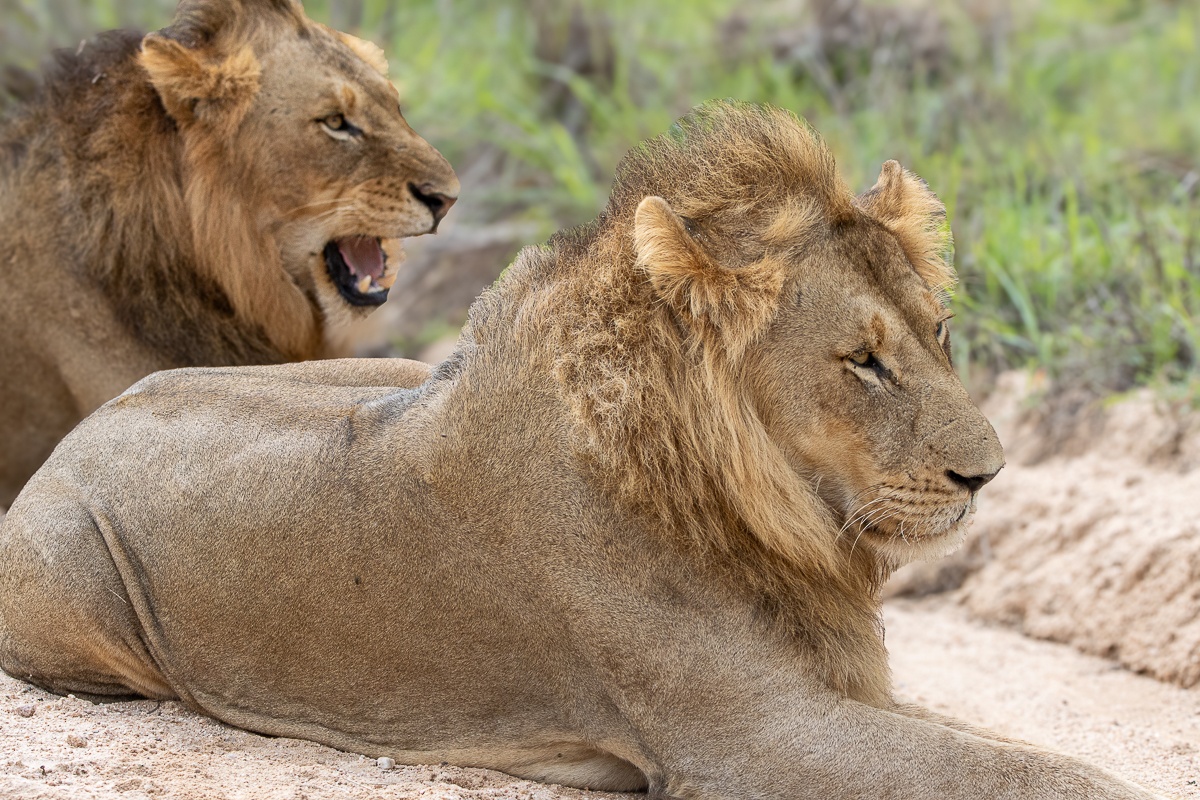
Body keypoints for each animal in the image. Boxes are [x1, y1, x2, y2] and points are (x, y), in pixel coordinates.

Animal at [0, 102, 1168, 799]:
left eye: (942, 335)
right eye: (864, 362)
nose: (990, 473)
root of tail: (79, 432)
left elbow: (1023, 752)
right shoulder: (752, 736)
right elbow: (1041, 776)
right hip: (68, 582)